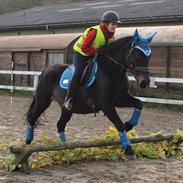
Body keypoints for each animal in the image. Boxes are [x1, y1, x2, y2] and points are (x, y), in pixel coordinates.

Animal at [25, 29, 156, 159]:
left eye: (149, 55)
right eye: (137, 54)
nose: (145, 82)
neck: (111, 70)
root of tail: (47, 69)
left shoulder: (120, 99)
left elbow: (139, 104)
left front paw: (129, 125)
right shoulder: (106, 105)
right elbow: (118, 124)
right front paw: (128, 149)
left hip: (67, 109)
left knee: (60, 125)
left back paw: (65, 150)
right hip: (43, 101)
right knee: (32, 119)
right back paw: (26, 145)